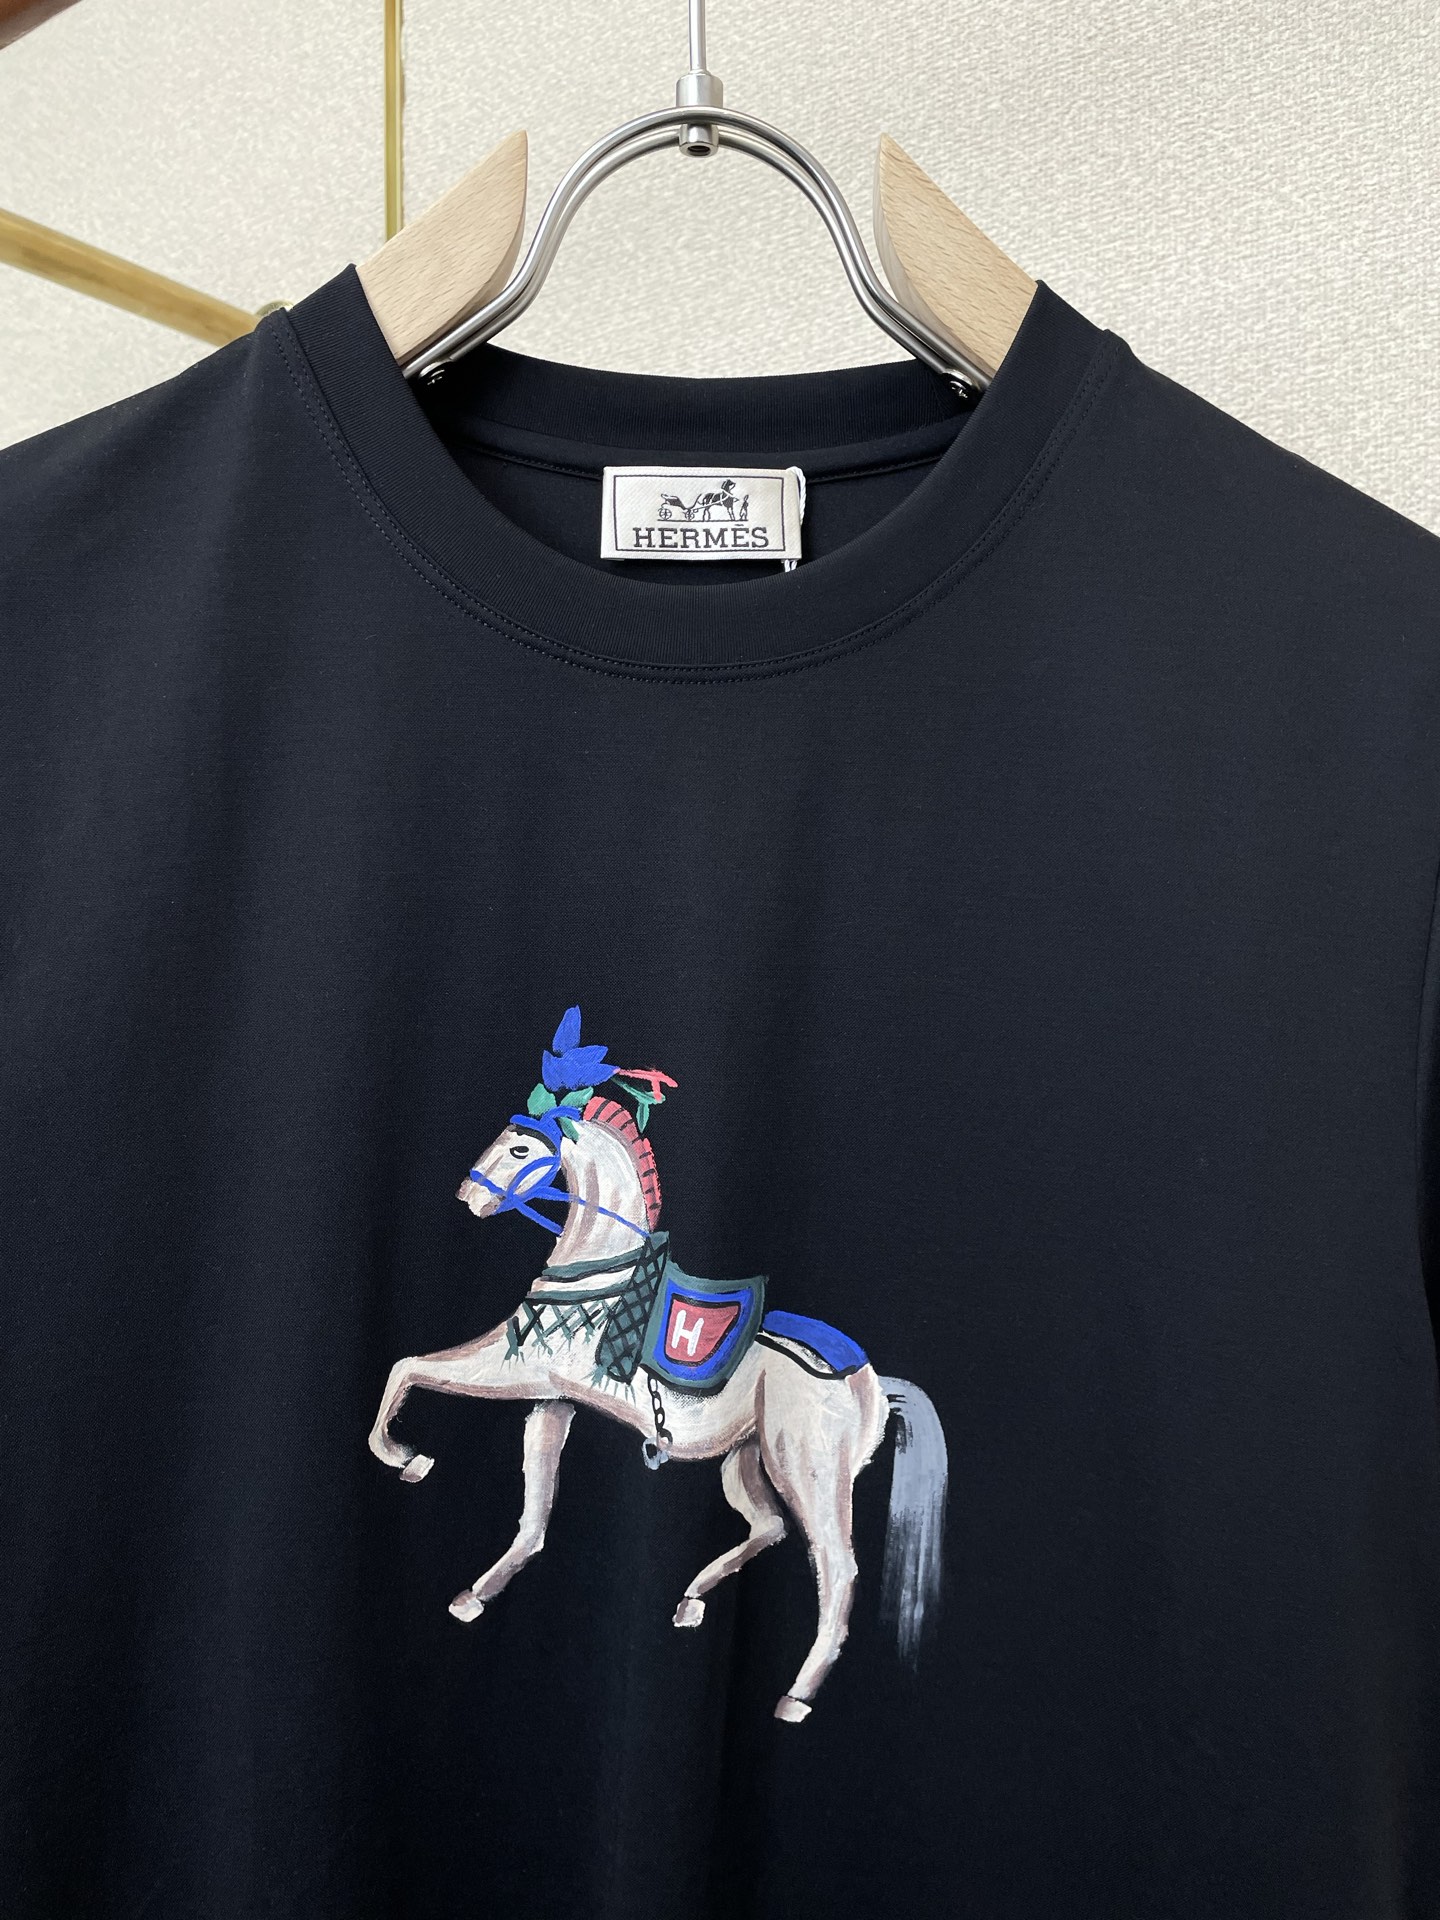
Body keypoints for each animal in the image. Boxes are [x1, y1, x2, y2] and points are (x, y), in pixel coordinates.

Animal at [368, 1095, 947, 1722]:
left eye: (521, 1147)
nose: (468, 1196)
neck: (603, 1270)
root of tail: (872, 1383)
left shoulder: (513, 1369)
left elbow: (407, 1367)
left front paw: (408, 1458)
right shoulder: (553, 1402)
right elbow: (534, 1513)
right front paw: (477, 1593)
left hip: (807, 1472)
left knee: (837, 1570)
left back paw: (796, 1695)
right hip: (744, 1462)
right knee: (769, 1527)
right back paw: (691, 1601)